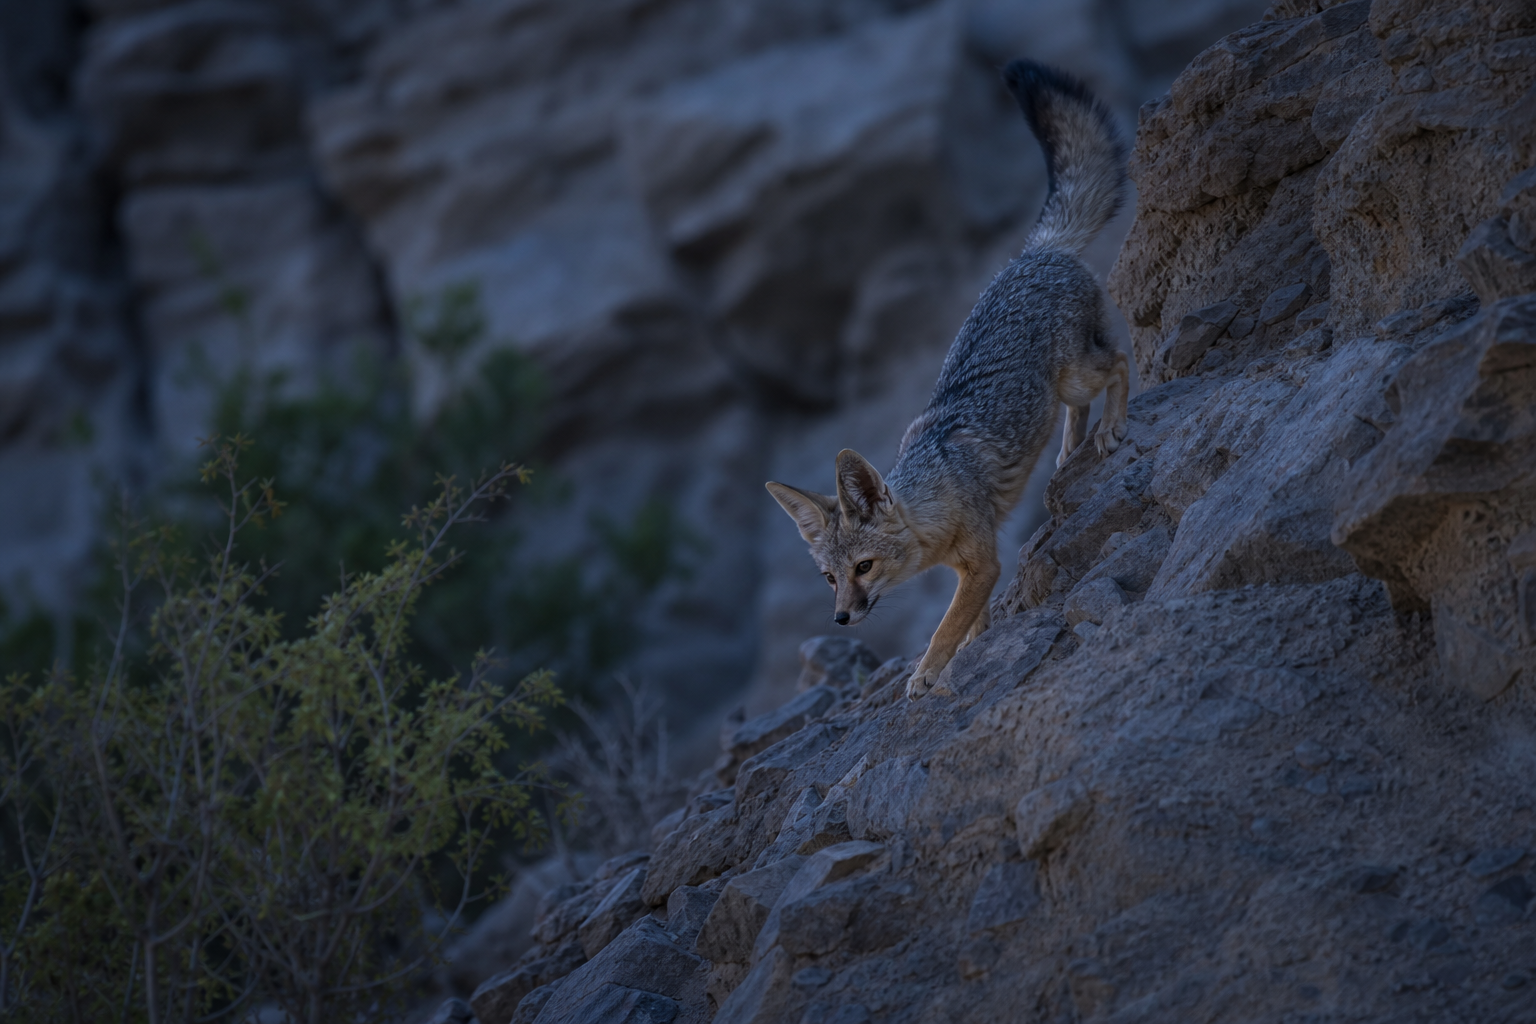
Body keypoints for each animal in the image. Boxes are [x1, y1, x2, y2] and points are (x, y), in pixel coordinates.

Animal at [766, 59, 1129, 701]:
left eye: (864, 568)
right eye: (829, 577)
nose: (841, 617)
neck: (936, 499)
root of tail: (1035, 253)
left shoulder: (984, 563)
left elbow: (945, 625)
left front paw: (927, 673)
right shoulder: (967, 570)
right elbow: (969, 618)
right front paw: (966, 648)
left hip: (1077, 376)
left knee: (1123, 359)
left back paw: (1110, 427)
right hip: (1061, 389)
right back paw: (1068, 453)